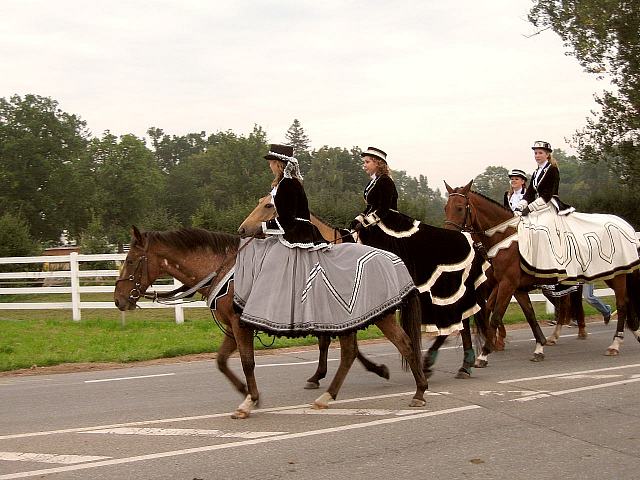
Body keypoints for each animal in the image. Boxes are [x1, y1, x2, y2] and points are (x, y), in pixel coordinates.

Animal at [114, 225, 430, 416]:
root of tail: (393, 260)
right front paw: (245, 392)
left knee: (396, 346)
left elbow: (247, 362)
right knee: (372, 349)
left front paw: (249, 399)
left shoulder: (240, 326)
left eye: (130, 260)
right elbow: (221, 361)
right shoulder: (232, 328)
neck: (224, 269)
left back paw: (418, 391)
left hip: (372, 316)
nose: (118, 300)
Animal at [236, 194, 490, 378]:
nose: (242, 229)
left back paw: (459, 363)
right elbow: (330, 340)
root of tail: (471, 241)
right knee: (461, 322)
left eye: (269, 205)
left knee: (460, 321)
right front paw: (319, 375)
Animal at [442, 181, 640, 360]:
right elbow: (529, 315)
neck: (505, 237)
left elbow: (496, 315)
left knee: (621, 305)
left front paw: (485, 353)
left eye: (459, 208)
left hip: (617, 275)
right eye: (445, 208)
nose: (449, 240)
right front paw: (538, 347)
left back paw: (614, 344)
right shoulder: (515, 287)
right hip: (611, 275)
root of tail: (626, 226)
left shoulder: (506, 284)